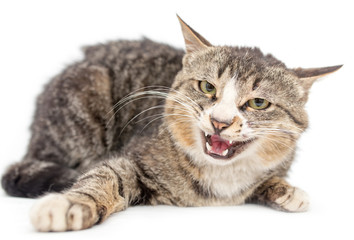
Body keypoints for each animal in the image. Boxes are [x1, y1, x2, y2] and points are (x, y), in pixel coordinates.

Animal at [1, 15, 342, 231]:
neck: (220, 178)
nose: (220, 122)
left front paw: (286, 190)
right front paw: (70, 205)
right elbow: (107, 176)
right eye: (207, 87)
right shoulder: (133, 158)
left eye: (258, 103)